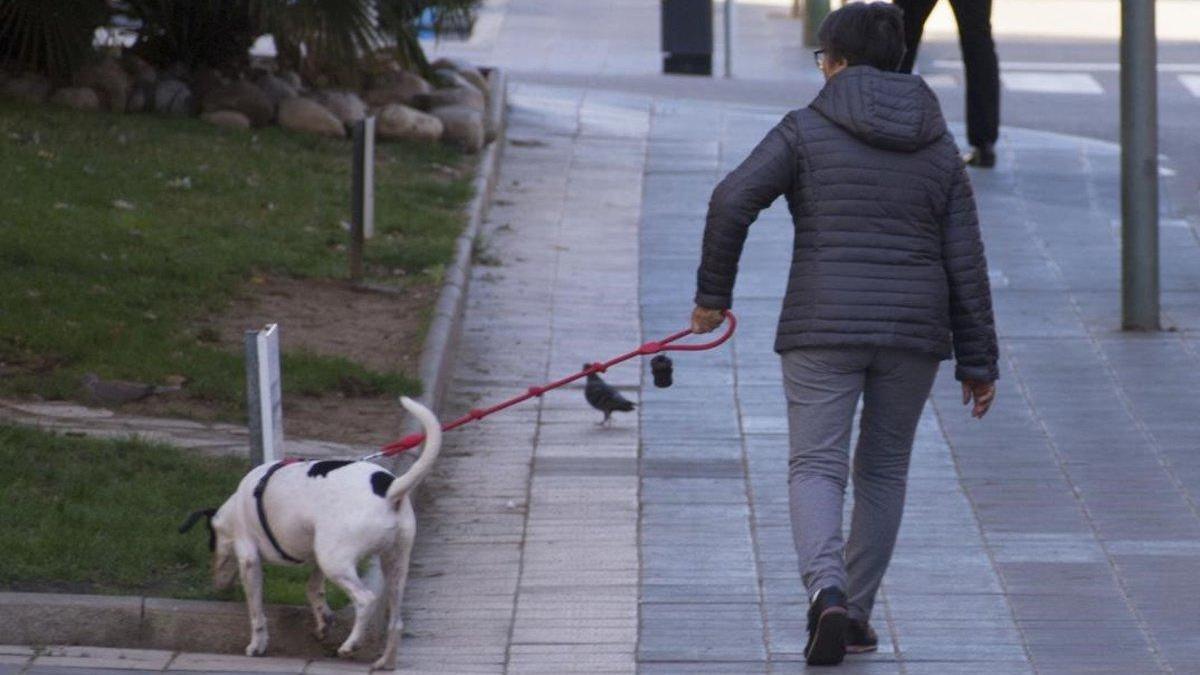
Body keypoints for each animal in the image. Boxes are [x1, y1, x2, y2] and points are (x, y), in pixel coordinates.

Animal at [177, 393, 441, 667]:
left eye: (211, 544)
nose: (216, 585)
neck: (237, 506)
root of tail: (391, 490)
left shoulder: (249, 560)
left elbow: (257, 611)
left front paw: (257, 644)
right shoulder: (316, 554)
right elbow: (313, 588)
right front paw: (323, 620)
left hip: (336, 562)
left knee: (366, 600)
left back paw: (351, 645)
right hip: (391, 562)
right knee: (396, 621)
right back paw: (384, 662)